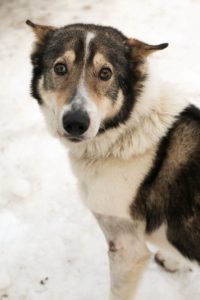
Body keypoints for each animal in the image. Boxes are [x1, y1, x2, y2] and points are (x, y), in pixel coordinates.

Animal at [26, 19, 200, 298]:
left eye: (105, 73)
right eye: (60, 68)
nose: (76, 123)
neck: (125, 130)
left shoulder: (126, 248)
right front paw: (175, 260)